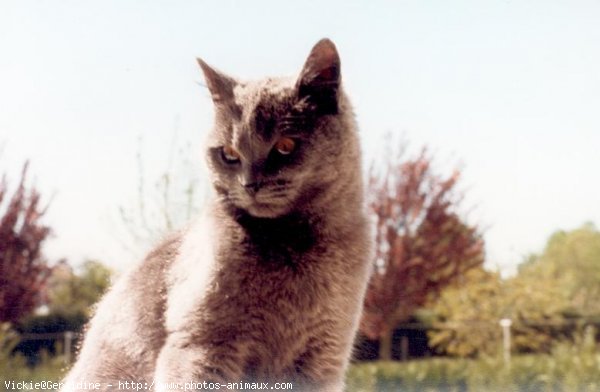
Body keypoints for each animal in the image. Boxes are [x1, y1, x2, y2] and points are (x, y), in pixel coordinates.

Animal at [61, 37, 370, 392]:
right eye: (229, 154)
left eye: (285, 146)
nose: (250, 184)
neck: (291, 243)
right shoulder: (202, 346)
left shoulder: (324, 353)